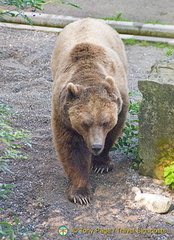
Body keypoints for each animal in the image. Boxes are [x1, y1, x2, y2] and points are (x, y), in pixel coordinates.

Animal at [51, 18, 128, 204]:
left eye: (105, 122)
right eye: (85, 123)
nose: (96, 146)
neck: (89, 72)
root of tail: (87, 19)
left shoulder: (120, 101)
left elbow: (113, 133)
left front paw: (101, 164)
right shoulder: (63, 114)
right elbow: (72, 149)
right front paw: (80, 193)